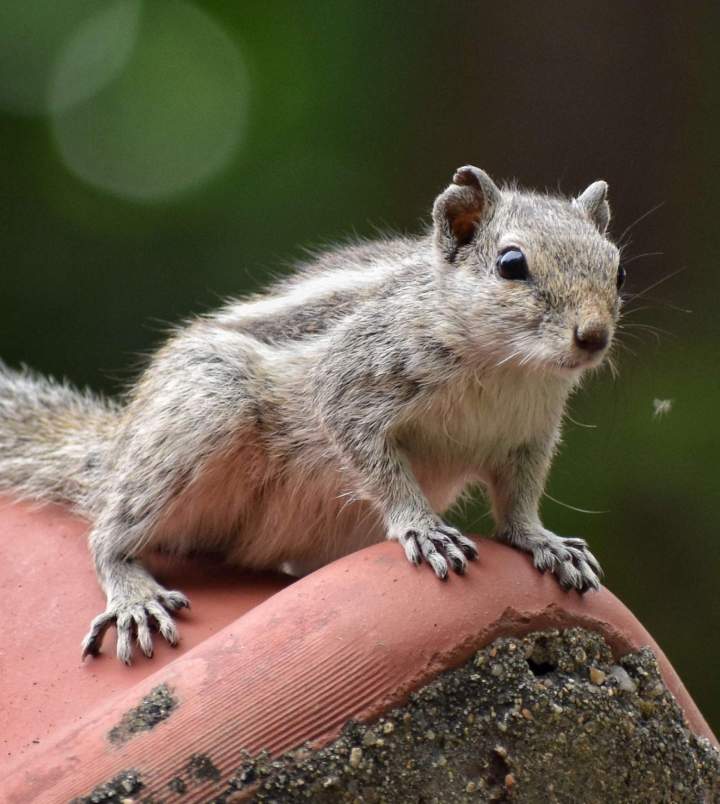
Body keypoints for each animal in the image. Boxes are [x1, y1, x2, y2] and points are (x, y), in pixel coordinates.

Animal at [0, 166, 623, 664]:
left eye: (617, 269)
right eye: (511, 264)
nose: (593, 337)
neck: (508, 367)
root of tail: (116, 453)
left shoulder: (529, 436)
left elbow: (519, 499)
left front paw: (542, 540)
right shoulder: (352, 386)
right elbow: (376, 462)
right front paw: (421, 526)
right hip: (200, 412)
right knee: (108, 533)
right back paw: (132, 591)